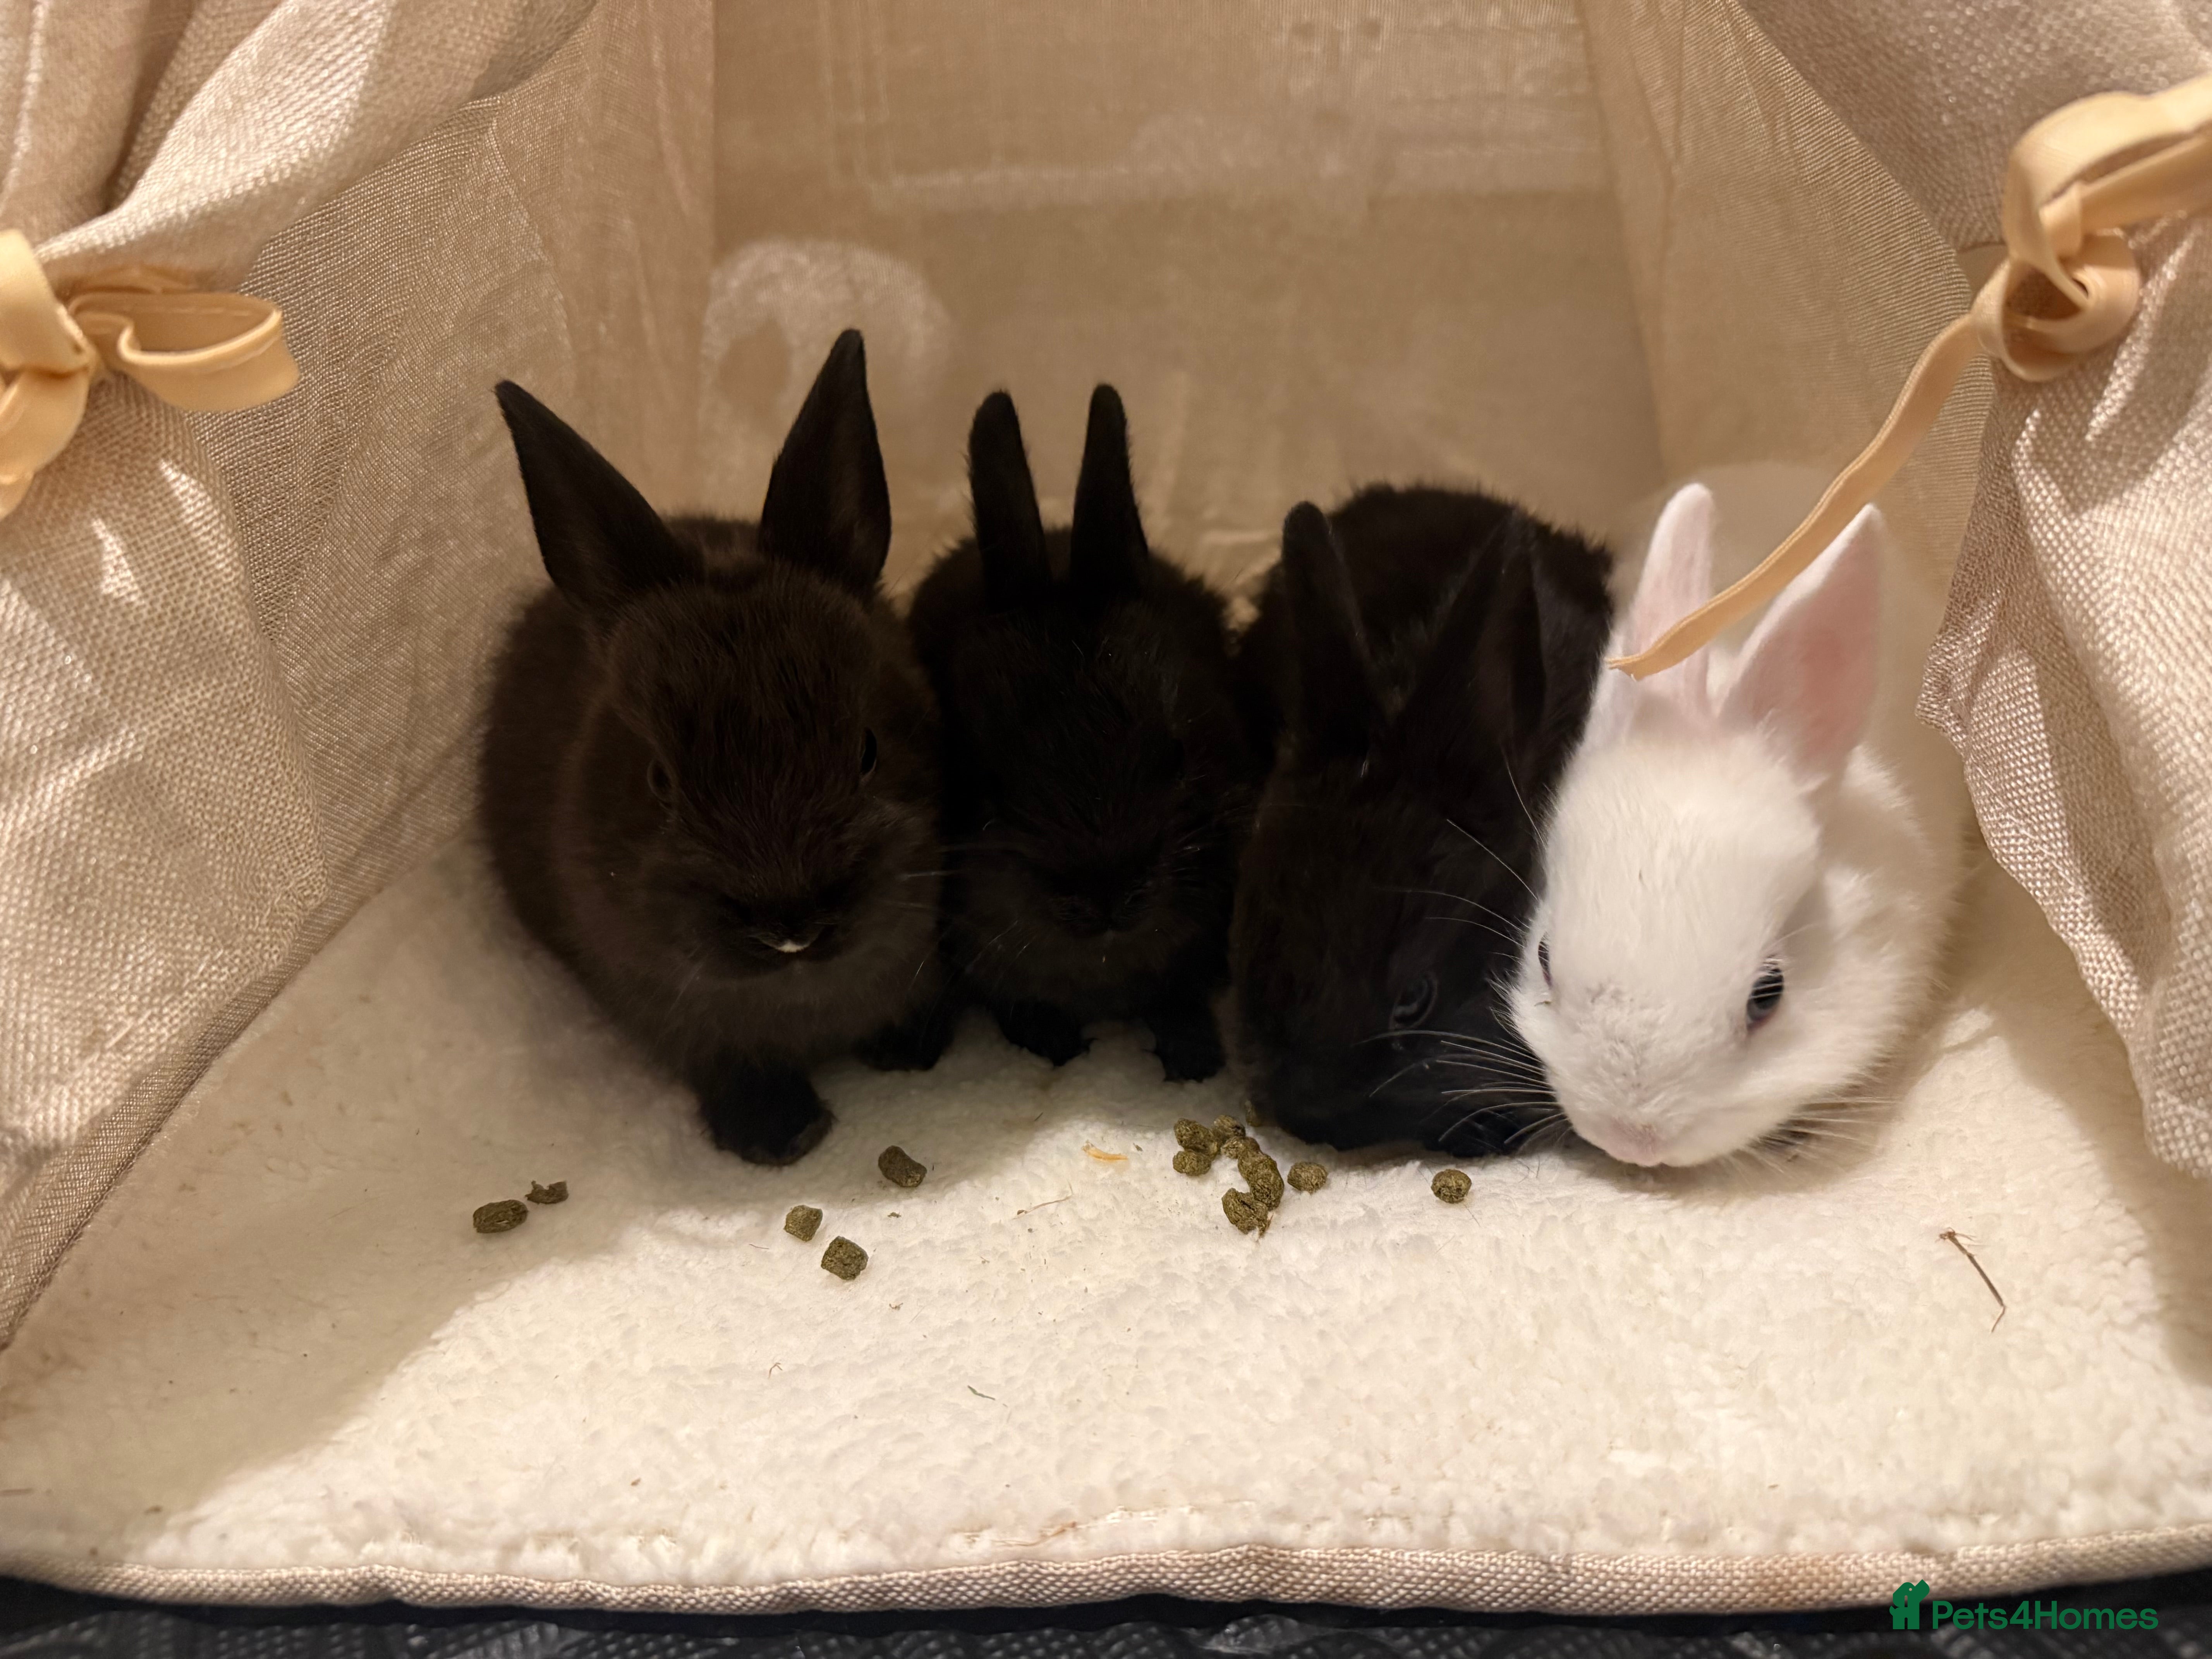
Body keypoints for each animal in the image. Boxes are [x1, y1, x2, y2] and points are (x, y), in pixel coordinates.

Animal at [905, 385, 1260, 1082]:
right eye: (991, 780)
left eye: (1177, 753)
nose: (1108, 896)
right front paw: (1054, 1047)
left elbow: (1179, 1002)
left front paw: (1195, 1063)